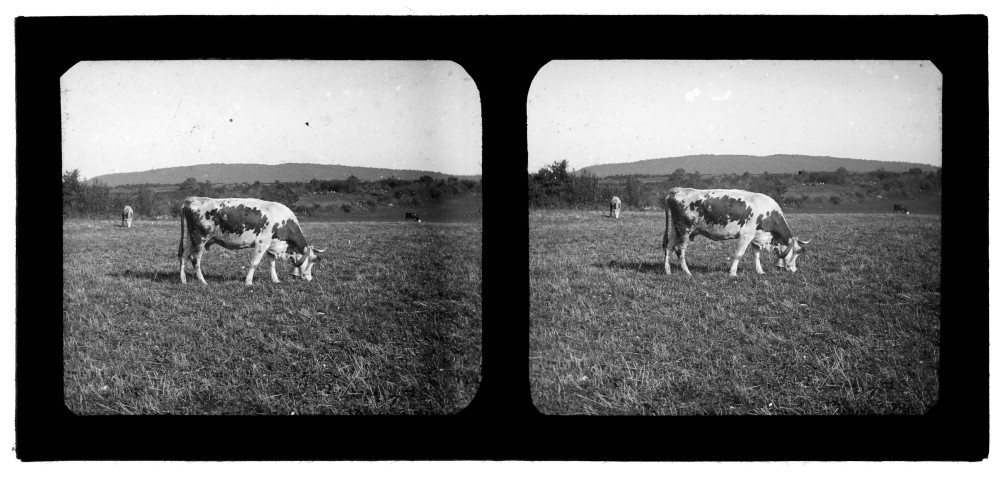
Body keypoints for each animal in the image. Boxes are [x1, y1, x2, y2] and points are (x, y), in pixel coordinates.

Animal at [177, 195, 325, 283]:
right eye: (313, 260)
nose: (309, 278)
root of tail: (192, 199)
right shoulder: (261, 243)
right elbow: (255, 263)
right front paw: (248, 282)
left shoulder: (271, 245)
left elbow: (272, 263)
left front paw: (275, 280)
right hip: (200, 239)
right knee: (195, 259)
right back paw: (203, 281)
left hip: (191, 239)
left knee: (184, 255)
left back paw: (183, 280)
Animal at [663, 188, 812, 277]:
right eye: (797, 252)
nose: (794, 270)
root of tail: (676, 190)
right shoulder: (746, 235)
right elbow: (738, 254)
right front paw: (733, 273)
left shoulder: (755, 237)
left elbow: (756, 255)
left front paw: (760, 271)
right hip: (684, 230)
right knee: (679, 250)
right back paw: (687, 272)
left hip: (675, 230)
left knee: (668, 247)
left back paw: (667, 270)